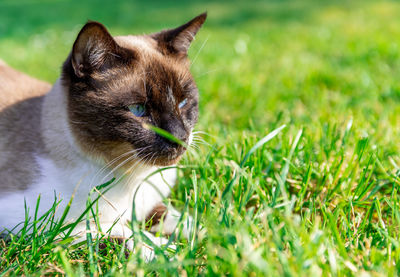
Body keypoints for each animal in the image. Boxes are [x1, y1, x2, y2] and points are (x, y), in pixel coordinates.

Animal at [0, 11, 206, 256]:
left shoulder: (145, 203)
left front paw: (215, 236)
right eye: (138, 109)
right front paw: (172, 254)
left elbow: (179, 218)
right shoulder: (42, 225)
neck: (131, 176)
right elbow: (123, 232)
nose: (180, 137)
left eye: (183, 103)